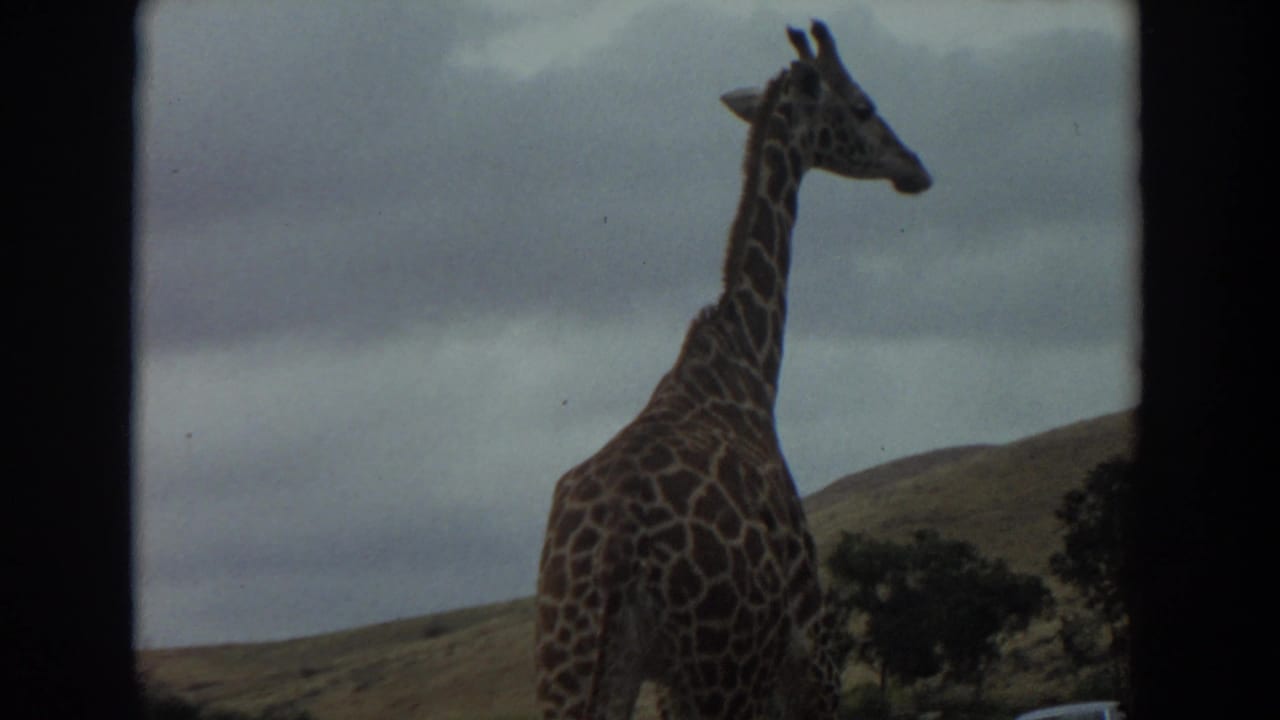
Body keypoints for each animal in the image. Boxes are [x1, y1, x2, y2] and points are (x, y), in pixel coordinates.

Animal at [535, 20, 931, 720]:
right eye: (862, 106)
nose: (916, 167)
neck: (749, 365)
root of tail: (614, 544)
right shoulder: (810, 649)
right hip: (722, 668)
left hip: (575, 663)